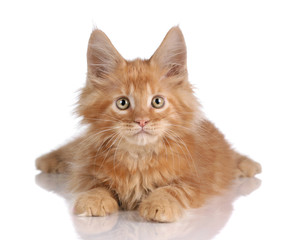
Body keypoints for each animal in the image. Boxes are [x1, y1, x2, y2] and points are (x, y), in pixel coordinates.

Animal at [35, 27, 262, 223]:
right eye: (123, 103)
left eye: (157, 102)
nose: (142, 120)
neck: (138, 158)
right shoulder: (86, 170)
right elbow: (96, 185)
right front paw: (94, 199)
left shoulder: (195, 180)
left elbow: (172, 189)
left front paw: (160, 204)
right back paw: (47, 162)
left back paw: (247, 166)